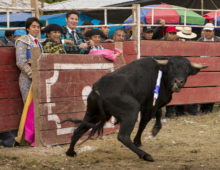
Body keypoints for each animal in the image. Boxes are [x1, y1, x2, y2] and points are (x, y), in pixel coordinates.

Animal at [65, 56, 208, 161]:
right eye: (171, 68)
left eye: (187, 70)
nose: (178, 82)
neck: (162, 74)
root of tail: (98, 88)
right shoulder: (149, 105)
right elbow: (145, 122)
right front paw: (141, 138)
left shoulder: (151, 104)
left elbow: (158, 113)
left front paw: (154, 130)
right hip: (131, 111)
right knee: (123, 136)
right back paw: (145, 155)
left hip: (93, 114)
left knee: (78, 130)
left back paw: (70, 152)